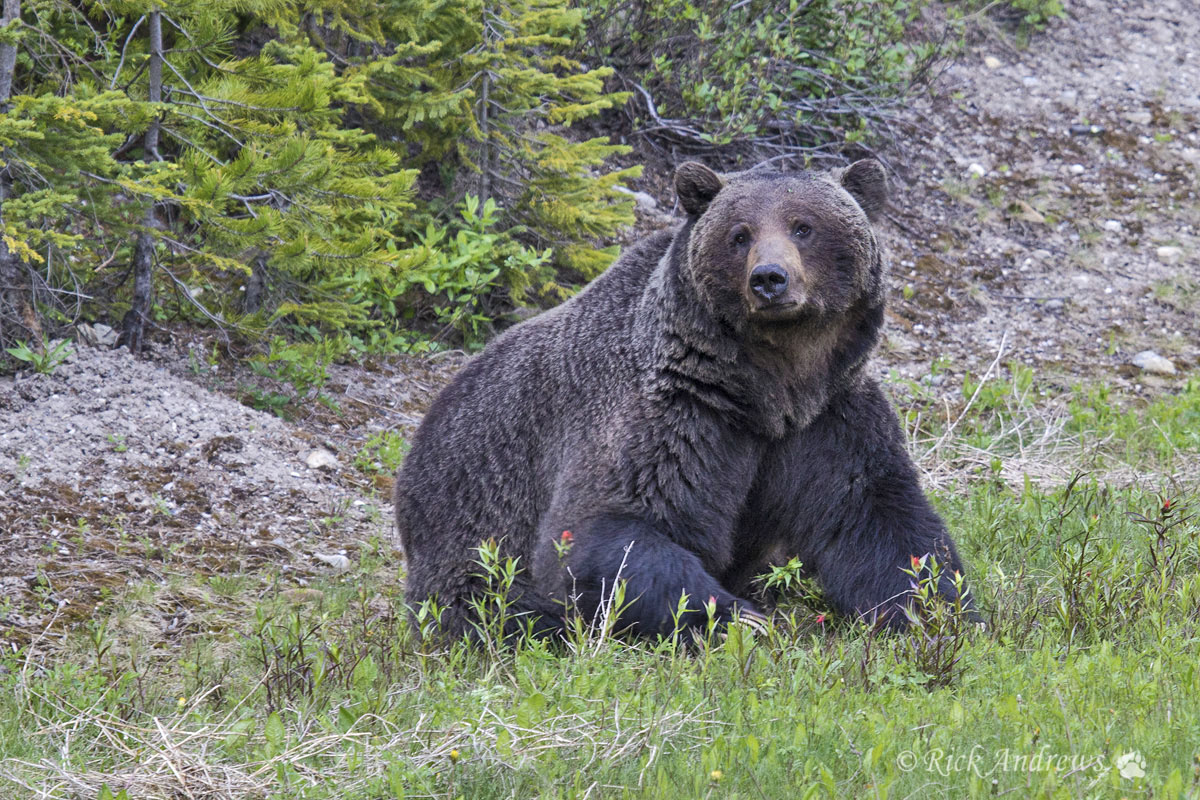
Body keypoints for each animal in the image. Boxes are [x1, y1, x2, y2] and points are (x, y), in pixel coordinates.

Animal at [393, 158, 973, 641]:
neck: (769, 385)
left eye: (803, 226)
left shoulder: (828, 417)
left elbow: (875, 515)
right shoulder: (670, 415)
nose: (770, 279)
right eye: (740, 234)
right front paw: (740, 617)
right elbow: (600, 529)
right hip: (466, 543)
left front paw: (935, 609)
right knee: (506, 606)